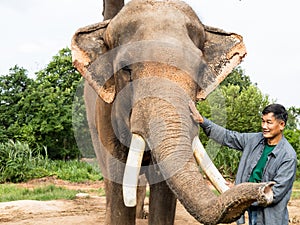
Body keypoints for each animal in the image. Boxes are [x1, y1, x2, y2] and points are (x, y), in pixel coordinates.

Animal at [71, 0, 276, 225]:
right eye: (126, 69)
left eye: (199, 69)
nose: (267, 190)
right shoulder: (106, 112)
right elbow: (119, 179)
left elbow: (163, 191)